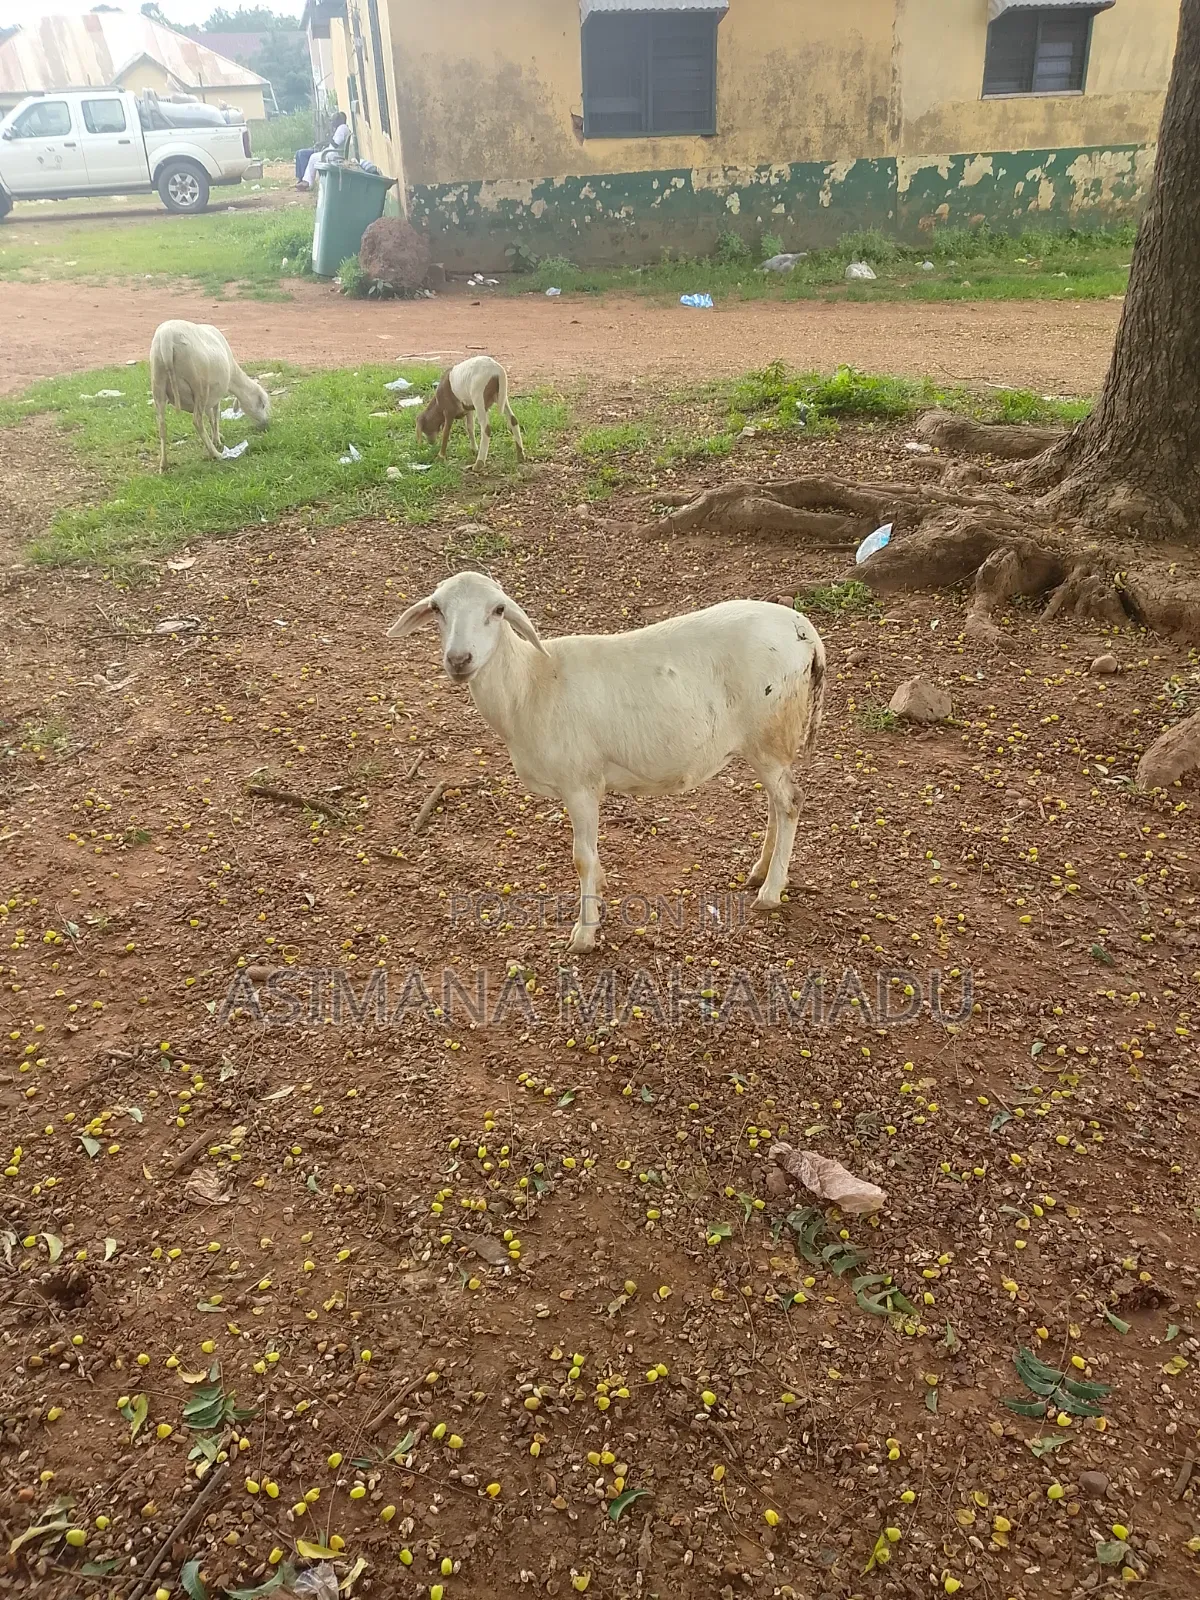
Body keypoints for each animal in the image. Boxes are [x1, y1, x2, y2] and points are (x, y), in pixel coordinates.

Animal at [149, 320, 271, 473]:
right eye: (262, 405)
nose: (266, 424)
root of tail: (167, 338)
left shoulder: (210, 398)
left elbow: (210, 416)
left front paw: (217, 437)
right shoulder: (216, 394)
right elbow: (215, 416)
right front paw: (217, 440)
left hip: (158, 382)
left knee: (162, 425)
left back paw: (164, 465)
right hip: (199, 384)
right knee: (197, 421)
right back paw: (215, 454)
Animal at [388, 570, 825, 954]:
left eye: (497, 610)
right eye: (437, 608)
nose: (459, 659)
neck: (529, 685)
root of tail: (805, 630)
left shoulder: (580, 783)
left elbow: (582, 858)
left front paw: (584, 933)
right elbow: (593, 859)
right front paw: (597, 900)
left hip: (770, 730)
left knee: (790, 802)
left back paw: (770, 891)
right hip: (766, 743)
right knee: (776, 802)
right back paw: (760, 871)